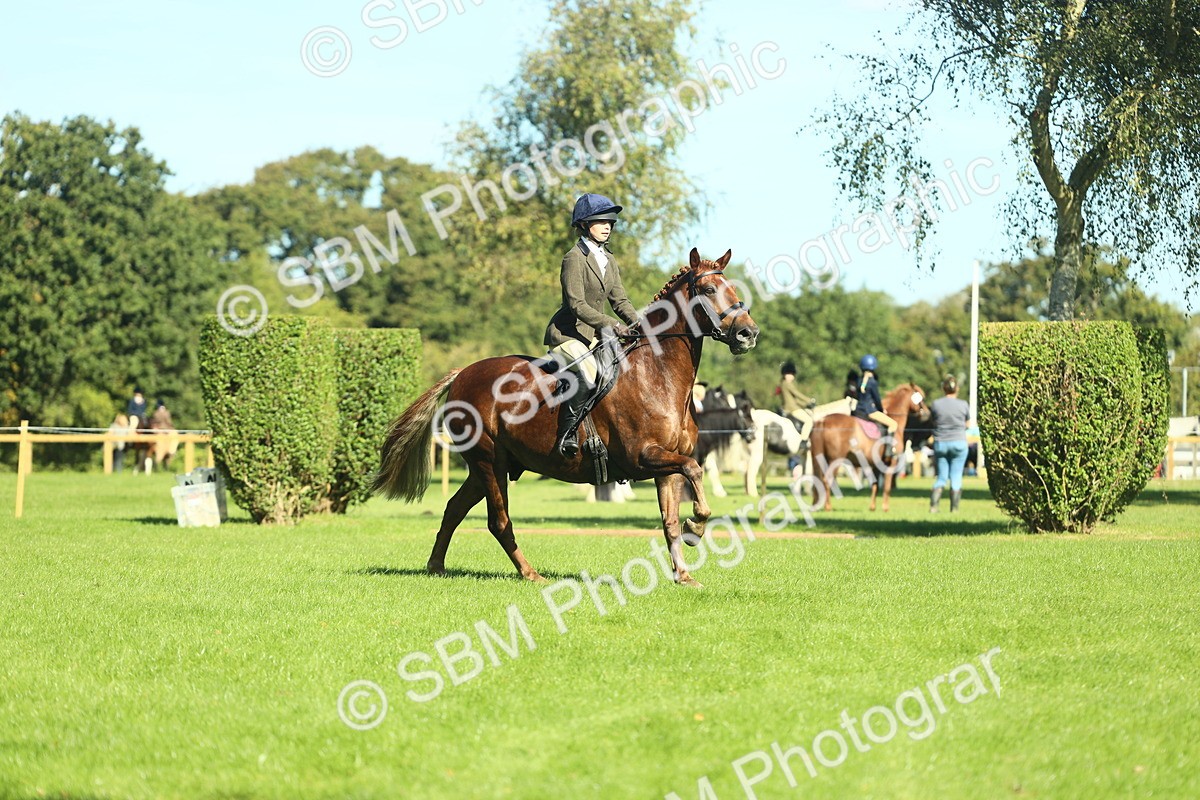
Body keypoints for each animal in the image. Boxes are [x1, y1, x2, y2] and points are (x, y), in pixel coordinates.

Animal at [373, 248, 759, 587]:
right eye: (709, 290)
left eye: (733, 289)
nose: (748, 333)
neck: (658, 375)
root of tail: (463, 373)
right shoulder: (644, 457)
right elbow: (695, 474)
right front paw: (698, 529)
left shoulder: (668, 465)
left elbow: (671, 520)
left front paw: (684, 574)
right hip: (489, 462)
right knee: (499, 521)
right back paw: (530, 574)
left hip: (488, 466)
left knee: (454, 508)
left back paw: (436, 566)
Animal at [809, 383, 929, 512]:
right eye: (921, 398)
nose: (927, 414)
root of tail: (823, 420)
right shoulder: (891, 463)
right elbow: (887, 486)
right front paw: (885, 508)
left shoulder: (876, 464)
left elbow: (875, 485)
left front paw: (872, 507)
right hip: (835, 460)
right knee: (827, 480)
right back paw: (828, 507)